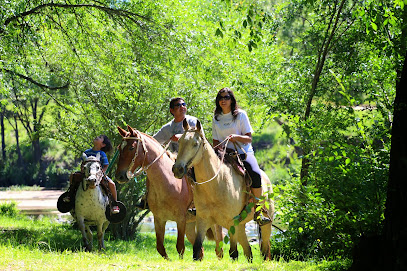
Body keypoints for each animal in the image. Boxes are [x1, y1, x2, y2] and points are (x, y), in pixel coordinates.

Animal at [115, 126, 220, 260]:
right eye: (119, 147)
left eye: (131, 147)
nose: (120, 176)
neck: (167, 182)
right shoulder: (159, 219)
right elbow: (160, 247)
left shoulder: (180, 220)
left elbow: (180, 247)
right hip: (191, 225)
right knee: (200, 250)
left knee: (219, 248)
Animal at [174, 120, 276, 262]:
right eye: (179, 142)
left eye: (195, 144)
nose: (177, 169)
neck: (216, 185)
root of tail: (267, 180)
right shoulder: (202, 220)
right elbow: (196, 249)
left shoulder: (231, 222)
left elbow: (233, 253)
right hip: (240, 226)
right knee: (248, 251)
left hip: (265, 224)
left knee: (265, 250)